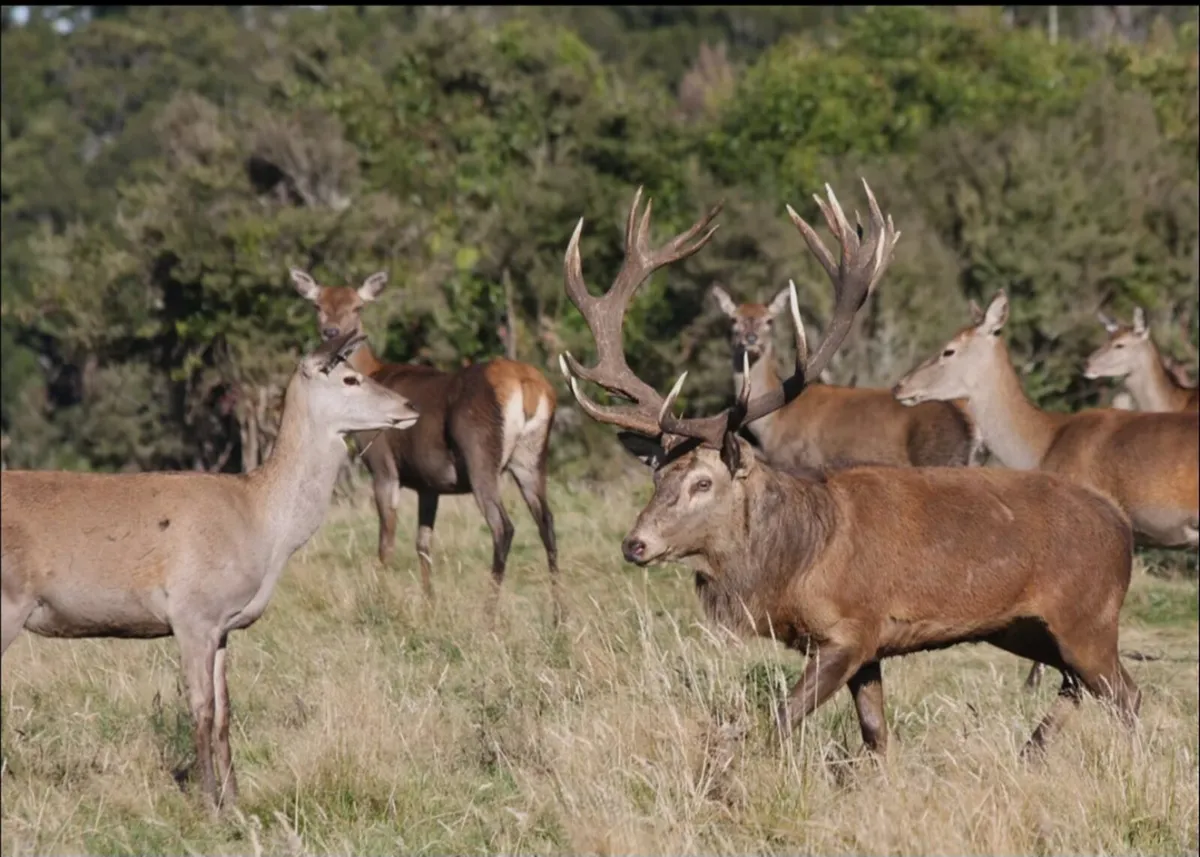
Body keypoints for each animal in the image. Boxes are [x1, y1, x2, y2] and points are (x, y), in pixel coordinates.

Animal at [1, 332, 419, 809]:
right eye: (350, 378)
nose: (409, 406)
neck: (262, 527)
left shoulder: (222, 625)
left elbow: (224, 712)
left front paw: (235, 800)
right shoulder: (192, 612)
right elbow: (199, 709)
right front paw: (208, 802)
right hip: (9, 601)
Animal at [289, 269, 561, 621]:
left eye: (357, 307)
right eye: (317, 305)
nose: (332, 332)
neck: (375, 373)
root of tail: (526, 386)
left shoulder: (383, 466)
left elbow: (386, 540)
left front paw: (380, 600)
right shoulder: (429, 482)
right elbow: (423, 543)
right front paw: (429, 603)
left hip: (480, 454)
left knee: (503, 527)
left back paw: (488, 616)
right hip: (531, 457)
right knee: (547, 523)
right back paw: (559, 615)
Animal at [711, 285, 981, 469]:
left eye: (769, 321)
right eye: (733, 320)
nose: (751, 339)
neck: (773, 423)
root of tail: (968, 428)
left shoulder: (798, 462)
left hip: (936, 456)